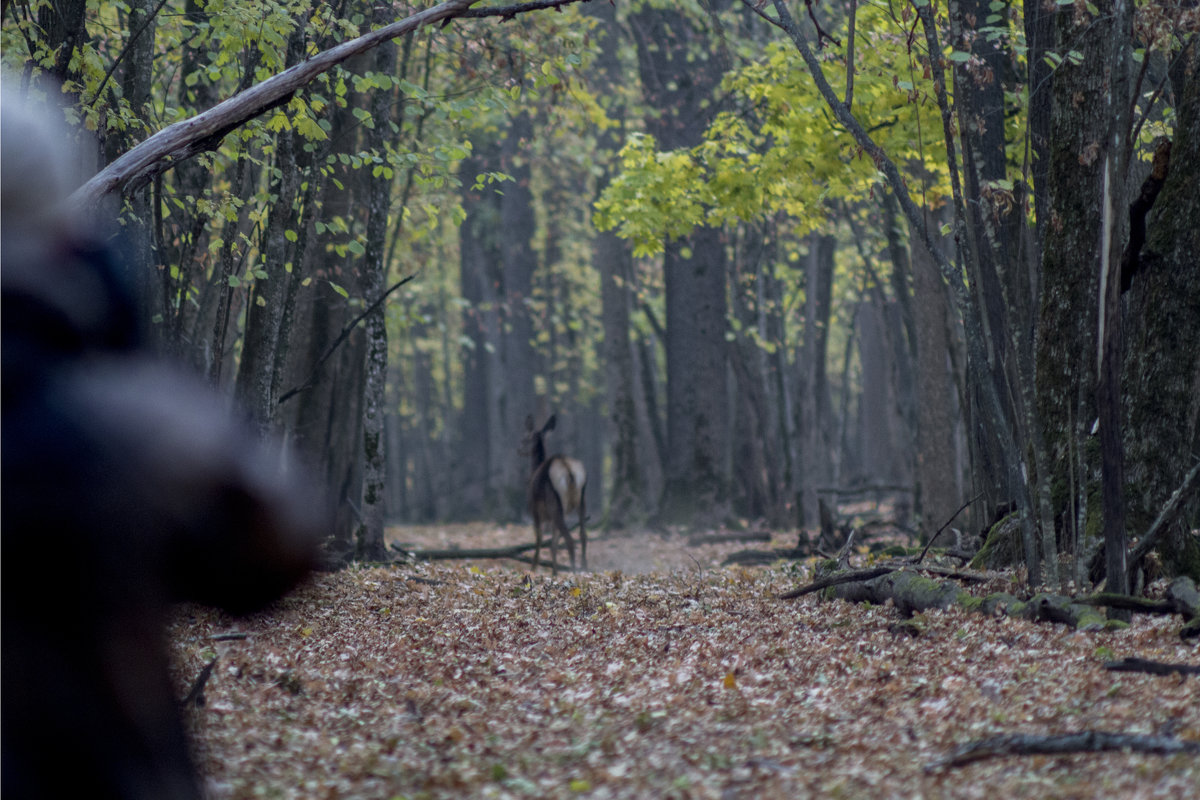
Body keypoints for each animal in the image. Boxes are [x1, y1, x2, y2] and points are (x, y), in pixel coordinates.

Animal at [520, 412, 585, 575]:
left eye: (525, 438)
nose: (518, 449)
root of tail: (568, 470)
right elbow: (553, 543)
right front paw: (554, 572)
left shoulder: (534, 510)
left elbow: (539, 538)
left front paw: (534, 568)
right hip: (582, 499)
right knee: (583, 535)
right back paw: (584, 567)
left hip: (554, 502)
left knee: (570, 539)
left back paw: (574, 570)